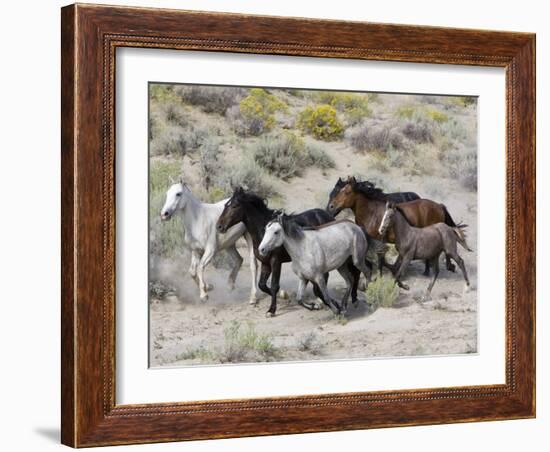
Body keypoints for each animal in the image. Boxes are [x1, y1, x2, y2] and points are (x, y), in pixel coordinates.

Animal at [218, 185, 364, 316]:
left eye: (234, 206)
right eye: (226, 205)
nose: (219, 226)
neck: (262, 232)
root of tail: (327, 215)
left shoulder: (276, 262)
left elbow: (274, 285)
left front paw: (272, 309)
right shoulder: (265, 263)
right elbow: (262, 285)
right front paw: (285, 296)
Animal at [328, 177, 466, 276]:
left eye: (347, 192)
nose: (331, 207)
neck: (371, 212)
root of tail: (439, 206)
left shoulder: (379, 241)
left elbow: (381, 260)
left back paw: (439, 269)